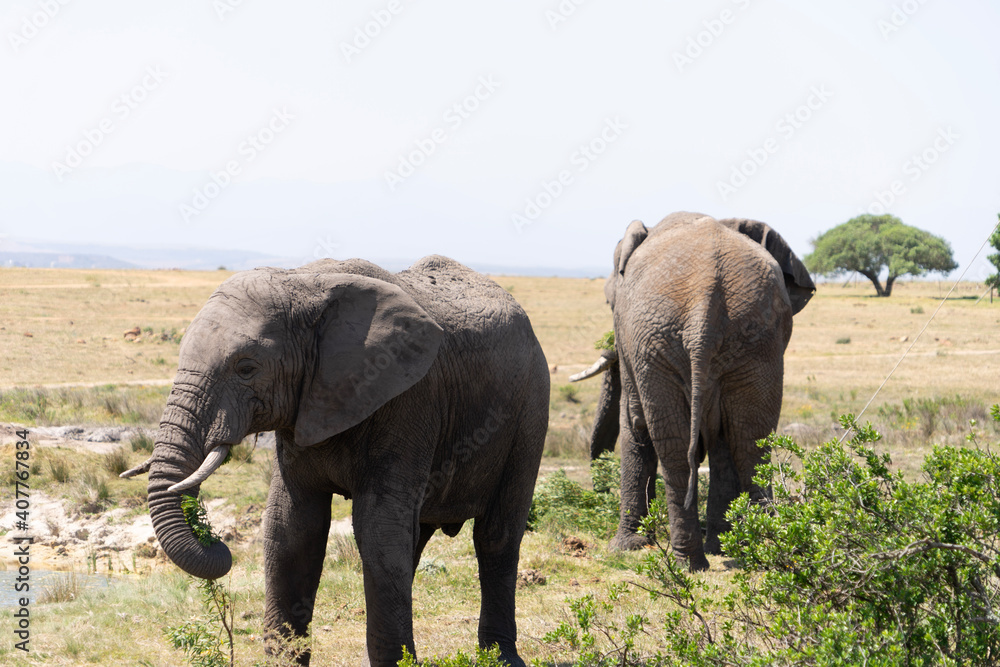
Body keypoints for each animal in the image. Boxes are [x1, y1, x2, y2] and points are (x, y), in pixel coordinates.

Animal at [121, 256, 549, 666]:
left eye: (246, 368)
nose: (217, 544)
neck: (303, 281)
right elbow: (291, 527)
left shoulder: (410, 400)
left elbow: (376, 527)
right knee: (414, 539)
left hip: (530, 408)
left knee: (495, 536)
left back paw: (503, 659)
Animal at [570, 212, 814, 571]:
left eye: (608, 302)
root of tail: (703, 305)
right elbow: (724, 442)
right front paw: (724, 547)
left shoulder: (633, 349)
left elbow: (635, 424)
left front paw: (624, 548)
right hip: (755, 343)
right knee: (749, 442)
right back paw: (751, 551)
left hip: (657, 344)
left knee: (672, 448)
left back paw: (690, 563)